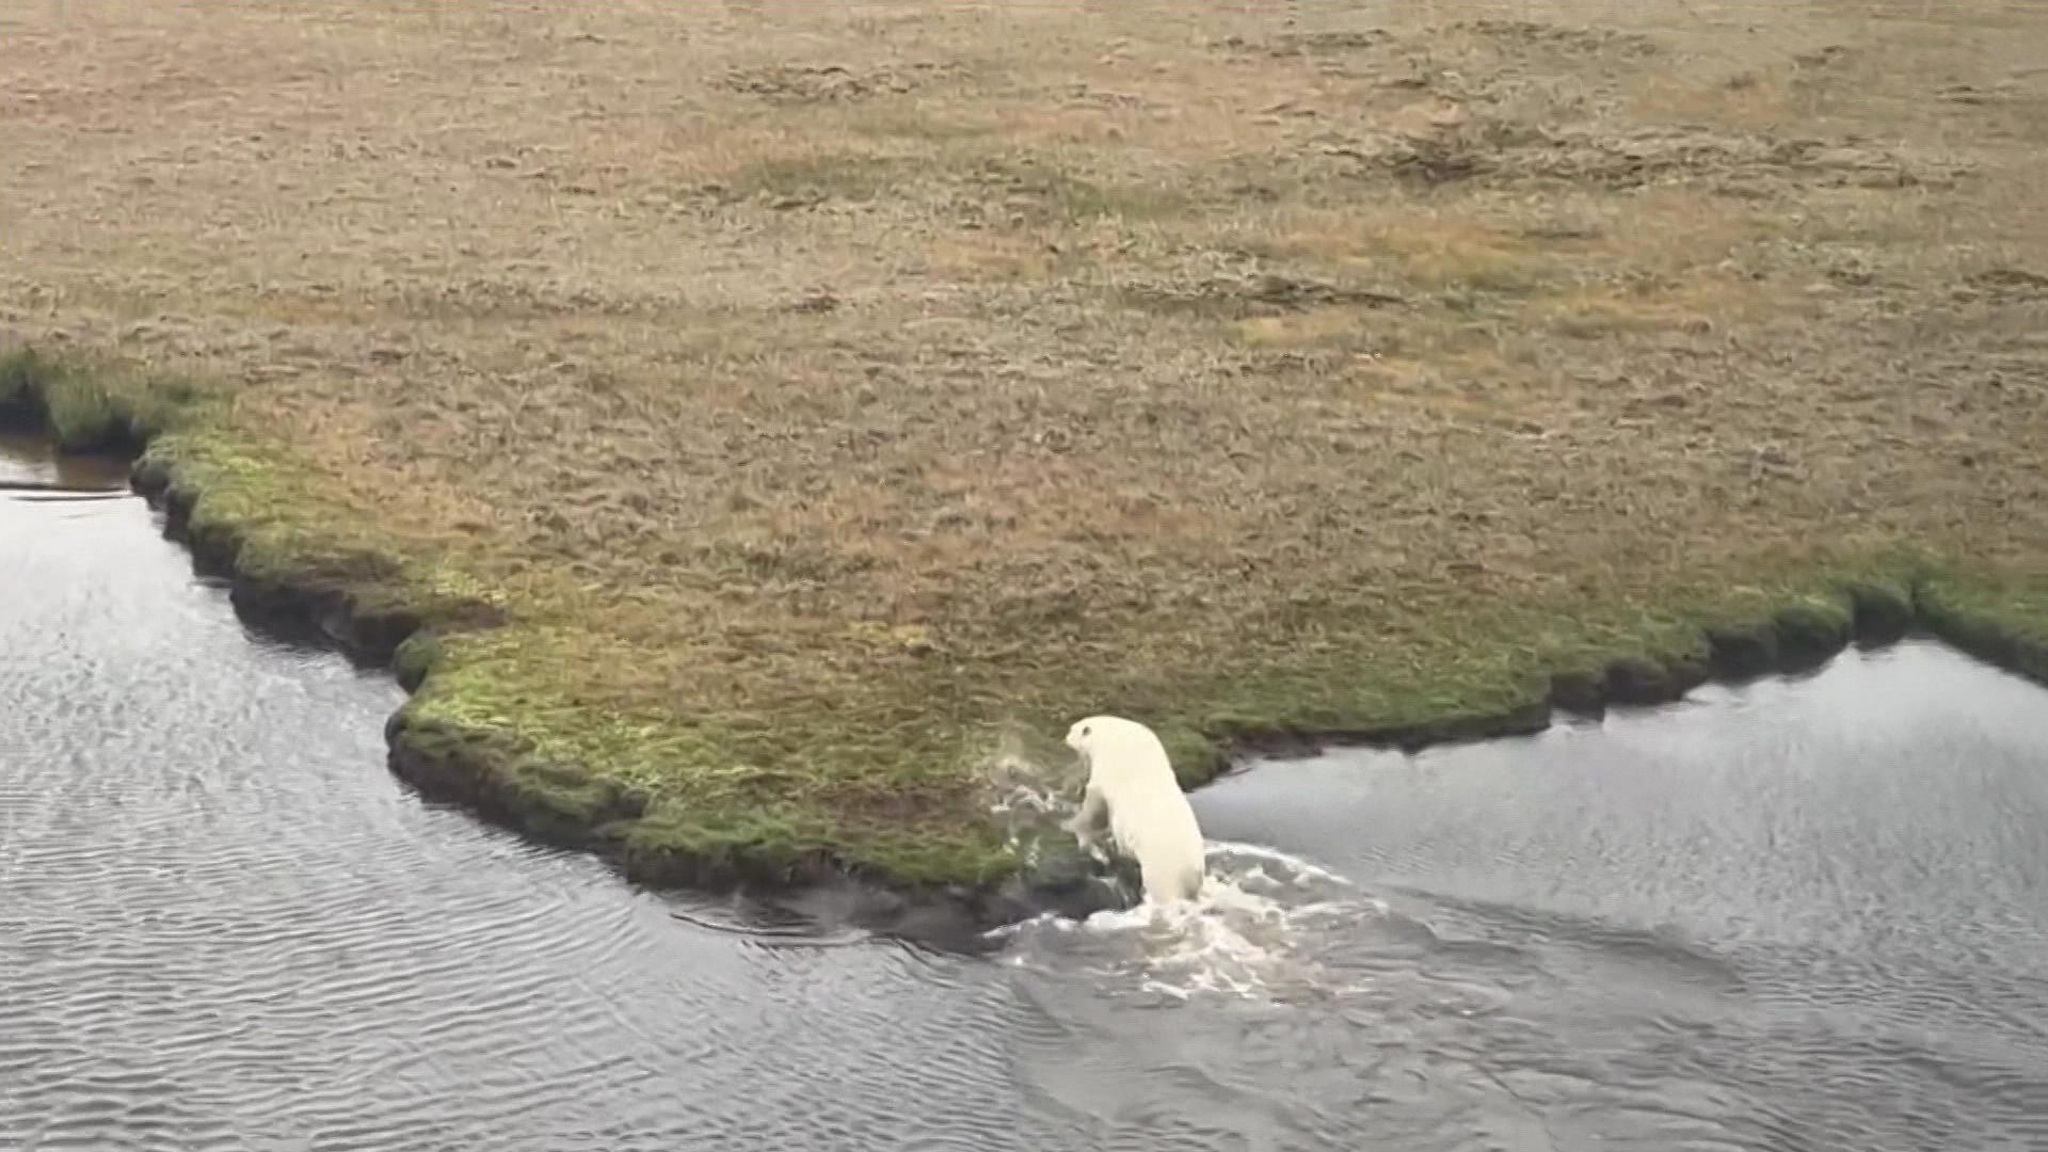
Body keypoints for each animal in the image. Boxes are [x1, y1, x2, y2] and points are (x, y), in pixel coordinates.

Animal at [1060, 715, 1207, 905]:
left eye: (1073, 729)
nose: (1065, 737)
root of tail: (1195, 873)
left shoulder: (1108, 774)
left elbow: (1094, 809)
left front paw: (1069, 825)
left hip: (1163, 864)